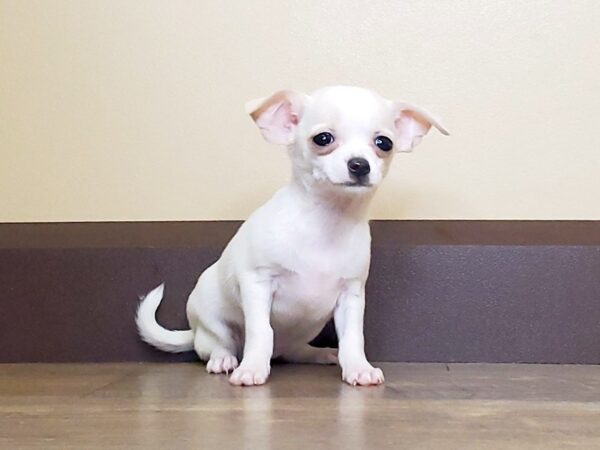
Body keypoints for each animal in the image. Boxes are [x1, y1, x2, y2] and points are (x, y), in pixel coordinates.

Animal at [136, 86, 446, 384]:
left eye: (384, 143)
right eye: (323, 138)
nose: (359, 164)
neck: (327, 220)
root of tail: (194, 330)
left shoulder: (351, 295)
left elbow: (353, 338)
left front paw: (359, 368)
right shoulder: (258, 284)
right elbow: (261, 331)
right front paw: (252, 369)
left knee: (294, 352)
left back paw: (320, 354)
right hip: (213, 322)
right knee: (215, 345)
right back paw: (224, 359)